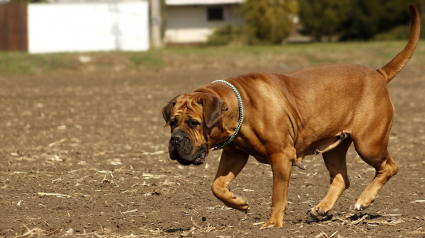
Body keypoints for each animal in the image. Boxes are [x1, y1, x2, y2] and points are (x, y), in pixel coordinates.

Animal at [162, 5, 420, 229]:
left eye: (194, 123)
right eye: (173, 122)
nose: (175, 139)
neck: (238, 107)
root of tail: (378, 74)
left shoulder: (281, 157)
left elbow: (277, 194)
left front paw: (272, 224)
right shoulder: (235, 154)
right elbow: (217, 185)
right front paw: (238, 202)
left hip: (369, 143)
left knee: (390, 167)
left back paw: (363, 200)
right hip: (335, 148)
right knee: (341, 178)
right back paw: (321, 208)